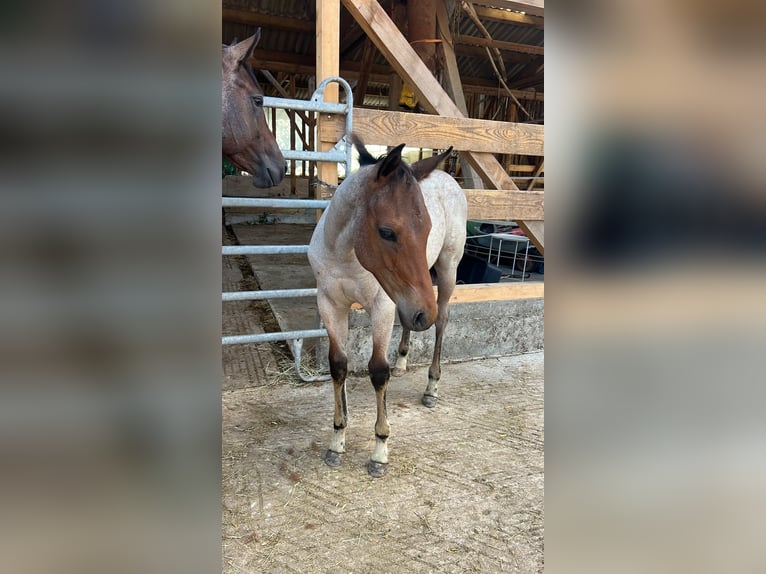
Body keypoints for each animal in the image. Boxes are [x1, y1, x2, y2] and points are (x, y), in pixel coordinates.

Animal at [308, 135, 467, 477]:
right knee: (411, 322)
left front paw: (380, 451)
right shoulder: (330, 304)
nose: (424, 312)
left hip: (444, 273)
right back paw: (403, 362)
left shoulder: (381, 306)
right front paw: (337, 441)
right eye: (387, 232)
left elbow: (378, 371)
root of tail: (447, 175)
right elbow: (338, 364)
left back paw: (431, 388)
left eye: (427, 229)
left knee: (441, 321)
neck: (344, 254)